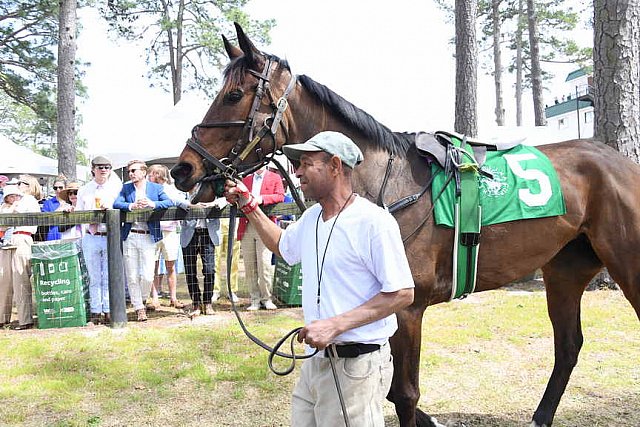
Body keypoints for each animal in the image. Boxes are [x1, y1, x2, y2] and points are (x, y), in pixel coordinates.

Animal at [172, 24, 640, 427]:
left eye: (233, 95)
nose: (183, 168)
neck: (384, 181)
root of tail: (619, 160)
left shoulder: (407, 307)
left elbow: (405, 394)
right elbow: (395, 390)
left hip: (625, 265)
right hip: (564, 269)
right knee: (568, 346)